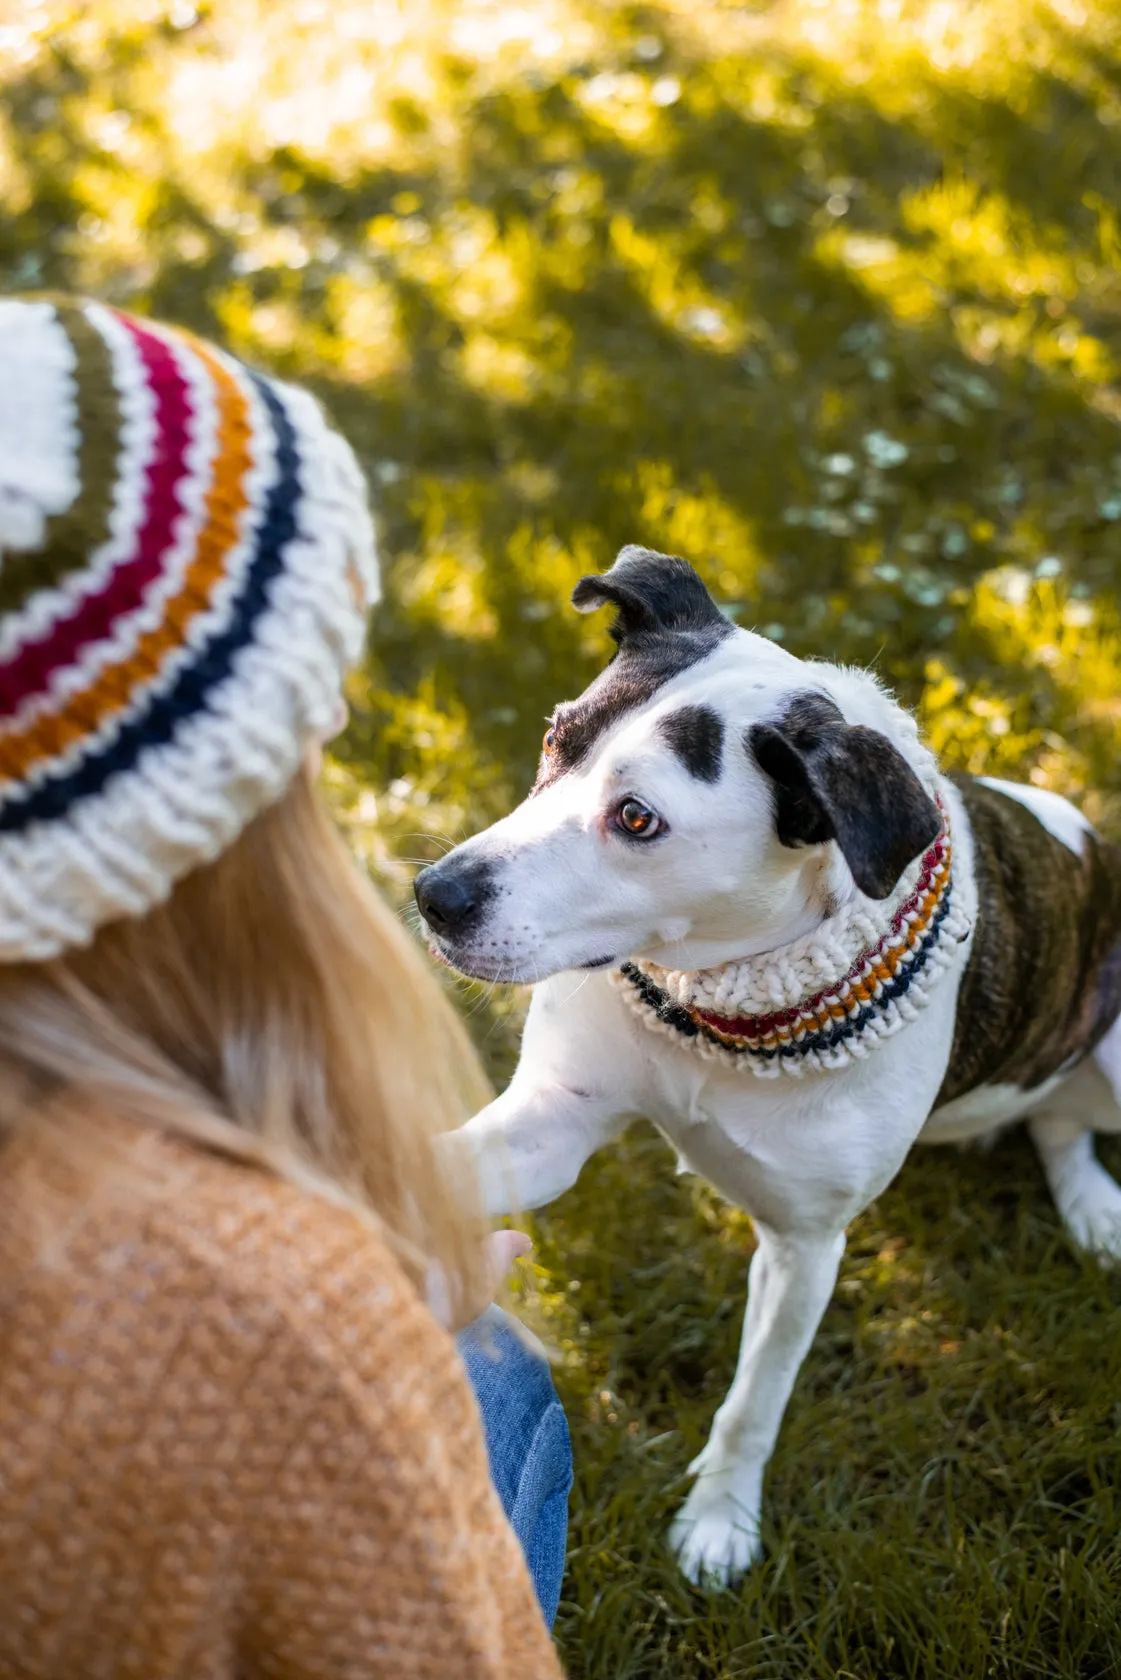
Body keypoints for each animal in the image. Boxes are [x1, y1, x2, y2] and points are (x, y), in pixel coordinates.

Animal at [415, 551, 1121, 1585]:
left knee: (1064, 1120)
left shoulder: (803, 1245)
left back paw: (1091, 1206)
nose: (436, 894)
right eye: (555, 738)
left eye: (637, 818)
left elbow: (755, 1399)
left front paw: (719, 1521)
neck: (712, 998)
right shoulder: (554, 1118)